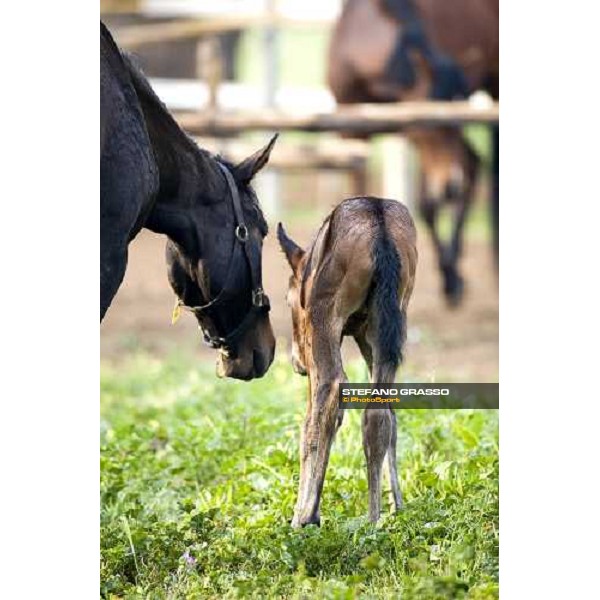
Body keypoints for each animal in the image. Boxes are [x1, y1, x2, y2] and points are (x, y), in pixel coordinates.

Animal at [278, 197, 414, 524]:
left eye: (288, 300)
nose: (297, 361)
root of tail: (381, 235)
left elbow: (311, 419)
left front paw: (304, 513)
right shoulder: (369, 336)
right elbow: (391, 415)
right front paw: (397, 504)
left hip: (328, 317)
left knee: (330, 394)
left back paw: (306, 516)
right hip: (391, 319)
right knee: (378, 414)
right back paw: (375, 517)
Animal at [326, 0, 500, 302]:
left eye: (456, 116)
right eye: (428, 121)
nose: (450, 186)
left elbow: (427, 204)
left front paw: (451, 278)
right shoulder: (354, 130)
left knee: (473, 166)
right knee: (473, 164)